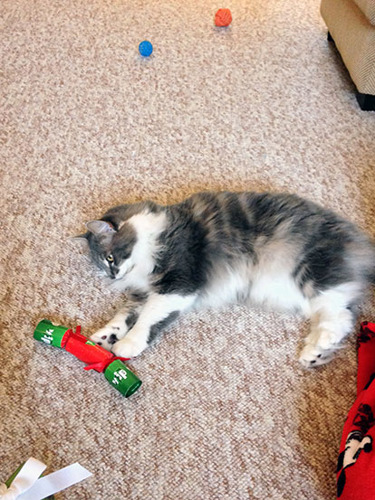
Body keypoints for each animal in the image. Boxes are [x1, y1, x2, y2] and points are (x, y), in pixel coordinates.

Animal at [76, 191, 375, 368]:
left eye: (110, 258)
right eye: (102, 265)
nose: (112, 274)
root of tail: (359, 241)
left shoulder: (177, 284)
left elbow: (147, 320)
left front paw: (127, 344)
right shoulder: (145, 292)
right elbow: (123, 315)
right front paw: (104, 337)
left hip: (312, 275)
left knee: (341, 317)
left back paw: (318, 348)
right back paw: (314, 354)